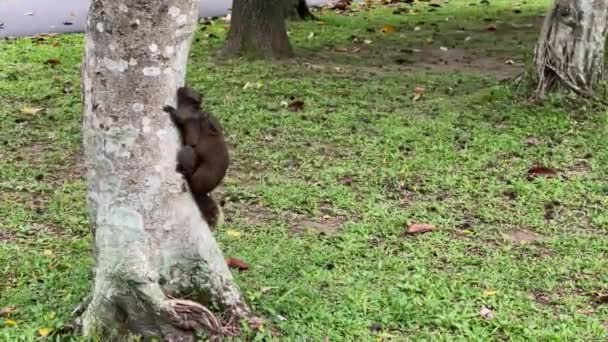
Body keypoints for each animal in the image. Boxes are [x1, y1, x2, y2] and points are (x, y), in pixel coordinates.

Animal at [162, 86, 228, 230]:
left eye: (187, 91)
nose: (181, 87)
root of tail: (201, 191)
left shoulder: (186, 115)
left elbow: (178, 116)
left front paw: (168, 108)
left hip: (188, 155)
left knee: (189, 172)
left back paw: (182, 171)